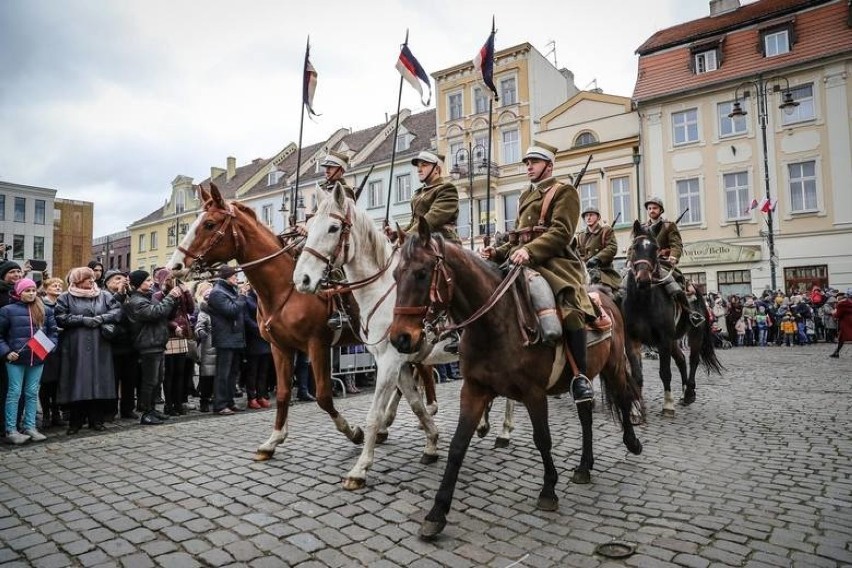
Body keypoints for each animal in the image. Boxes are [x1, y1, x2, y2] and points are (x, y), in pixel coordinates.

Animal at [167, 184, 436, 472]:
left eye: (209, 224)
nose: (175, 266)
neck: (284, 289)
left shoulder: (317, 345)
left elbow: (324, 397)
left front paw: (354, 432)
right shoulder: (280, 348)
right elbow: (284, 393)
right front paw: (273, 440)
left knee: (422, 372)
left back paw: (424, 414)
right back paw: (393, 423)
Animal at [292, 185, 512, 488]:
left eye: (333, 228)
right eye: (309, 227)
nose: (301, 279)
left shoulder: (390, 360)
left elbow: (374, 414)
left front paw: (360, 468)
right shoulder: (399, 362)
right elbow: (416, 404)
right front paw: (431, 444)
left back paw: (504, 431)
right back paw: (484, 424)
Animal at [386, 219, 640, 540]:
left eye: (421, 273)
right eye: (395, 274)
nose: (400, 338)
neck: (495, 323)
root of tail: (605, 295)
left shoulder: (534, 393)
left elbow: (542, 439)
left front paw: (548, 490)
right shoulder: (473, 390)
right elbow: (457, 446)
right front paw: (437, 512)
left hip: (614, 365)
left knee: (623, 396)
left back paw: (632, 443)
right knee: (586, 414)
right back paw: (584, 466)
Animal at [624, 222, 724, 418]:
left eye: (655, 248)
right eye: (634, 247)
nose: (643, 279)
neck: (642, 302)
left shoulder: (663, 340)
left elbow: (665, 372)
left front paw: (668, 405)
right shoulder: (632, 340)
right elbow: (636, 375)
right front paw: (636, 407)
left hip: (694, 335)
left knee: (693, 360)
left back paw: (689, 393)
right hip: (673, 341)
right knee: (681, 360)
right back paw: (685, 393)